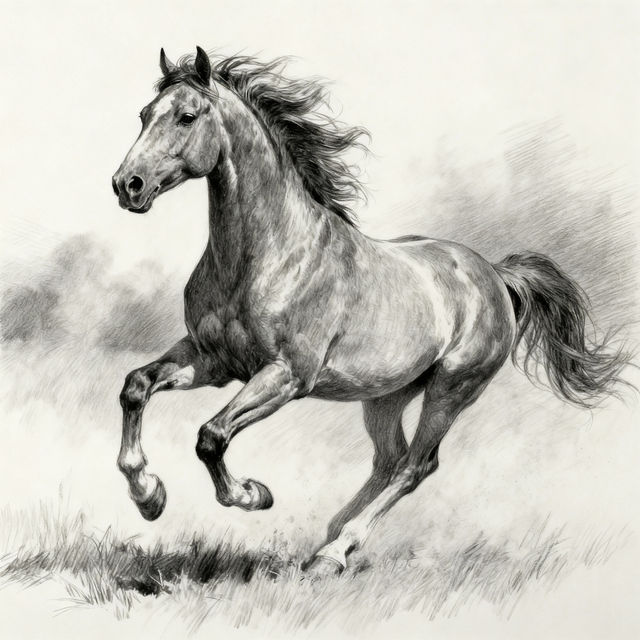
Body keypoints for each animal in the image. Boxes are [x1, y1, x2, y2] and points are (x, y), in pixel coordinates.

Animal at [112, 47, 629, 577]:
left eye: (187, 116)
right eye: (144, 114)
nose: (127, 185)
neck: (267, 254)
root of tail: (494, 275)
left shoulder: (286, 375)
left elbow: (210, 435)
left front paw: (252, 494)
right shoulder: (212, 359)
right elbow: (136, 387)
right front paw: (148, 495)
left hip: (452, 390)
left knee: (415, 466)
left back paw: (335, 552)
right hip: (386, 394)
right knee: (389, 459)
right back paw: (330, 538)